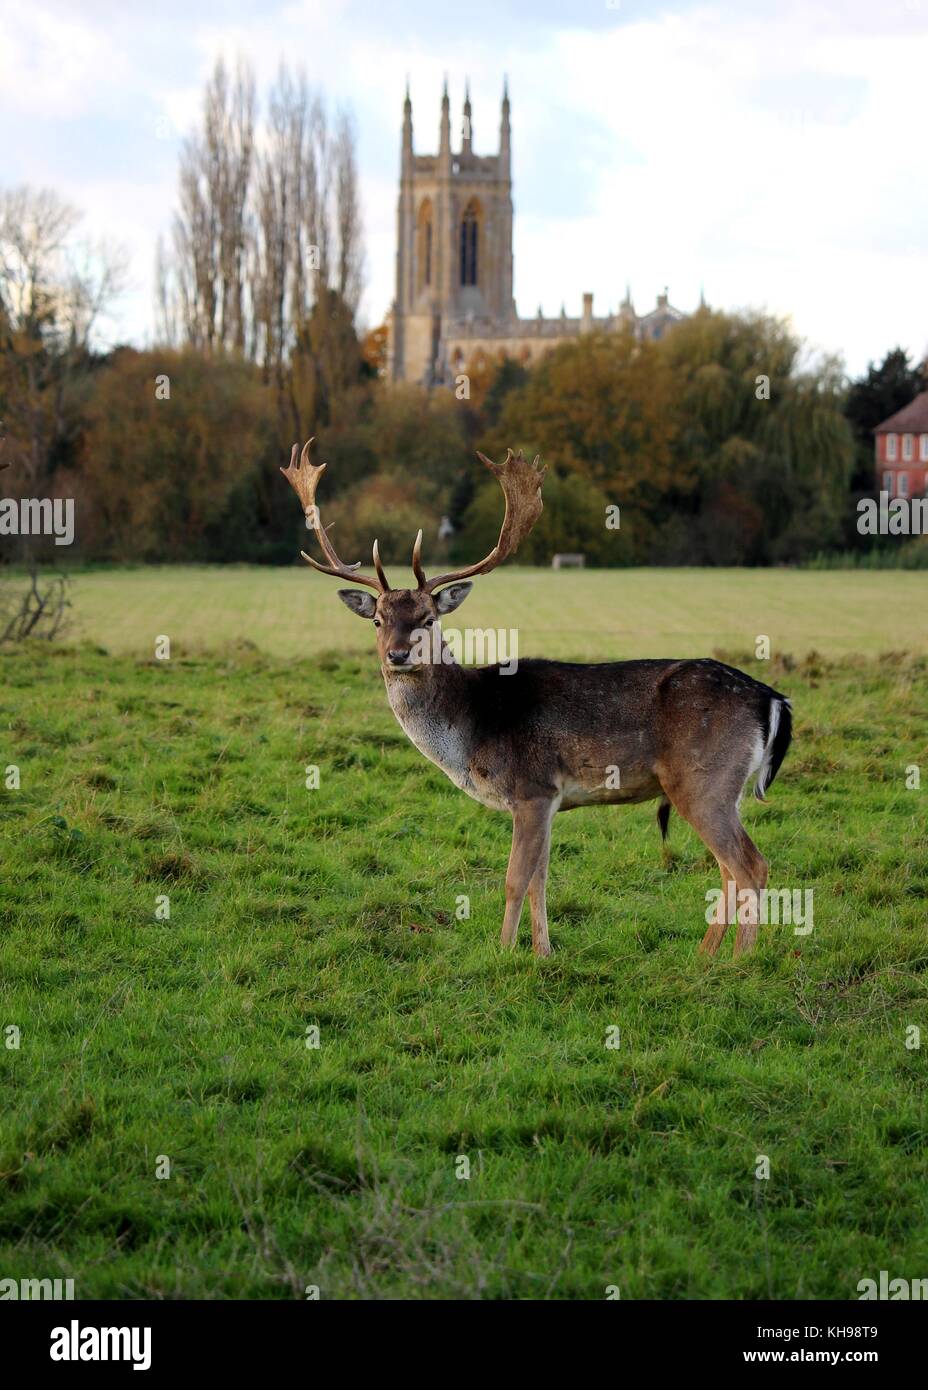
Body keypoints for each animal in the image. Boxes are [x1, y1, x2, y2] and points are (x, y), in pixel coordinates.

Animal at [283, 442, 789, 956]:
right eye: (377, 620)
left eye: (428, 617)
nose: (398, 655)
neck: (470, 730)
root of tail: (772, 700)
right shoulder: (549, 800)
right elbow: (540, 881)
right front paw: (542, 953)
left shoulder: (531, 787)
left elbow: (514, 880)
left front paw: (503, 952)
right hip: (724, 789)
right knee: (728, 869)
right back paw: (706, 957)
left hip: (703, 779)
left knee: (751, 865)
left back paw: (738, 962)